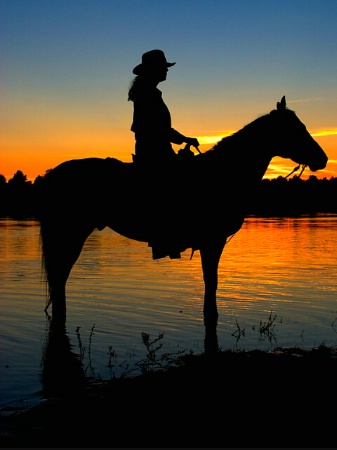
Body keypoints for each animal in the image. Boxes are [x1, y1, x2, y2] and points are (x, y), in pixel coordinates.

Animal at [38, 97, 326, 324]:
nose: (322, 159)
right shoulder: (212, 241)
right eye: (297, 129)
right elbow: (211, 283)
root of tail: (52, 174)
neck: (224, 173)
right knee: (60, 278)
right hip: (70, 235)